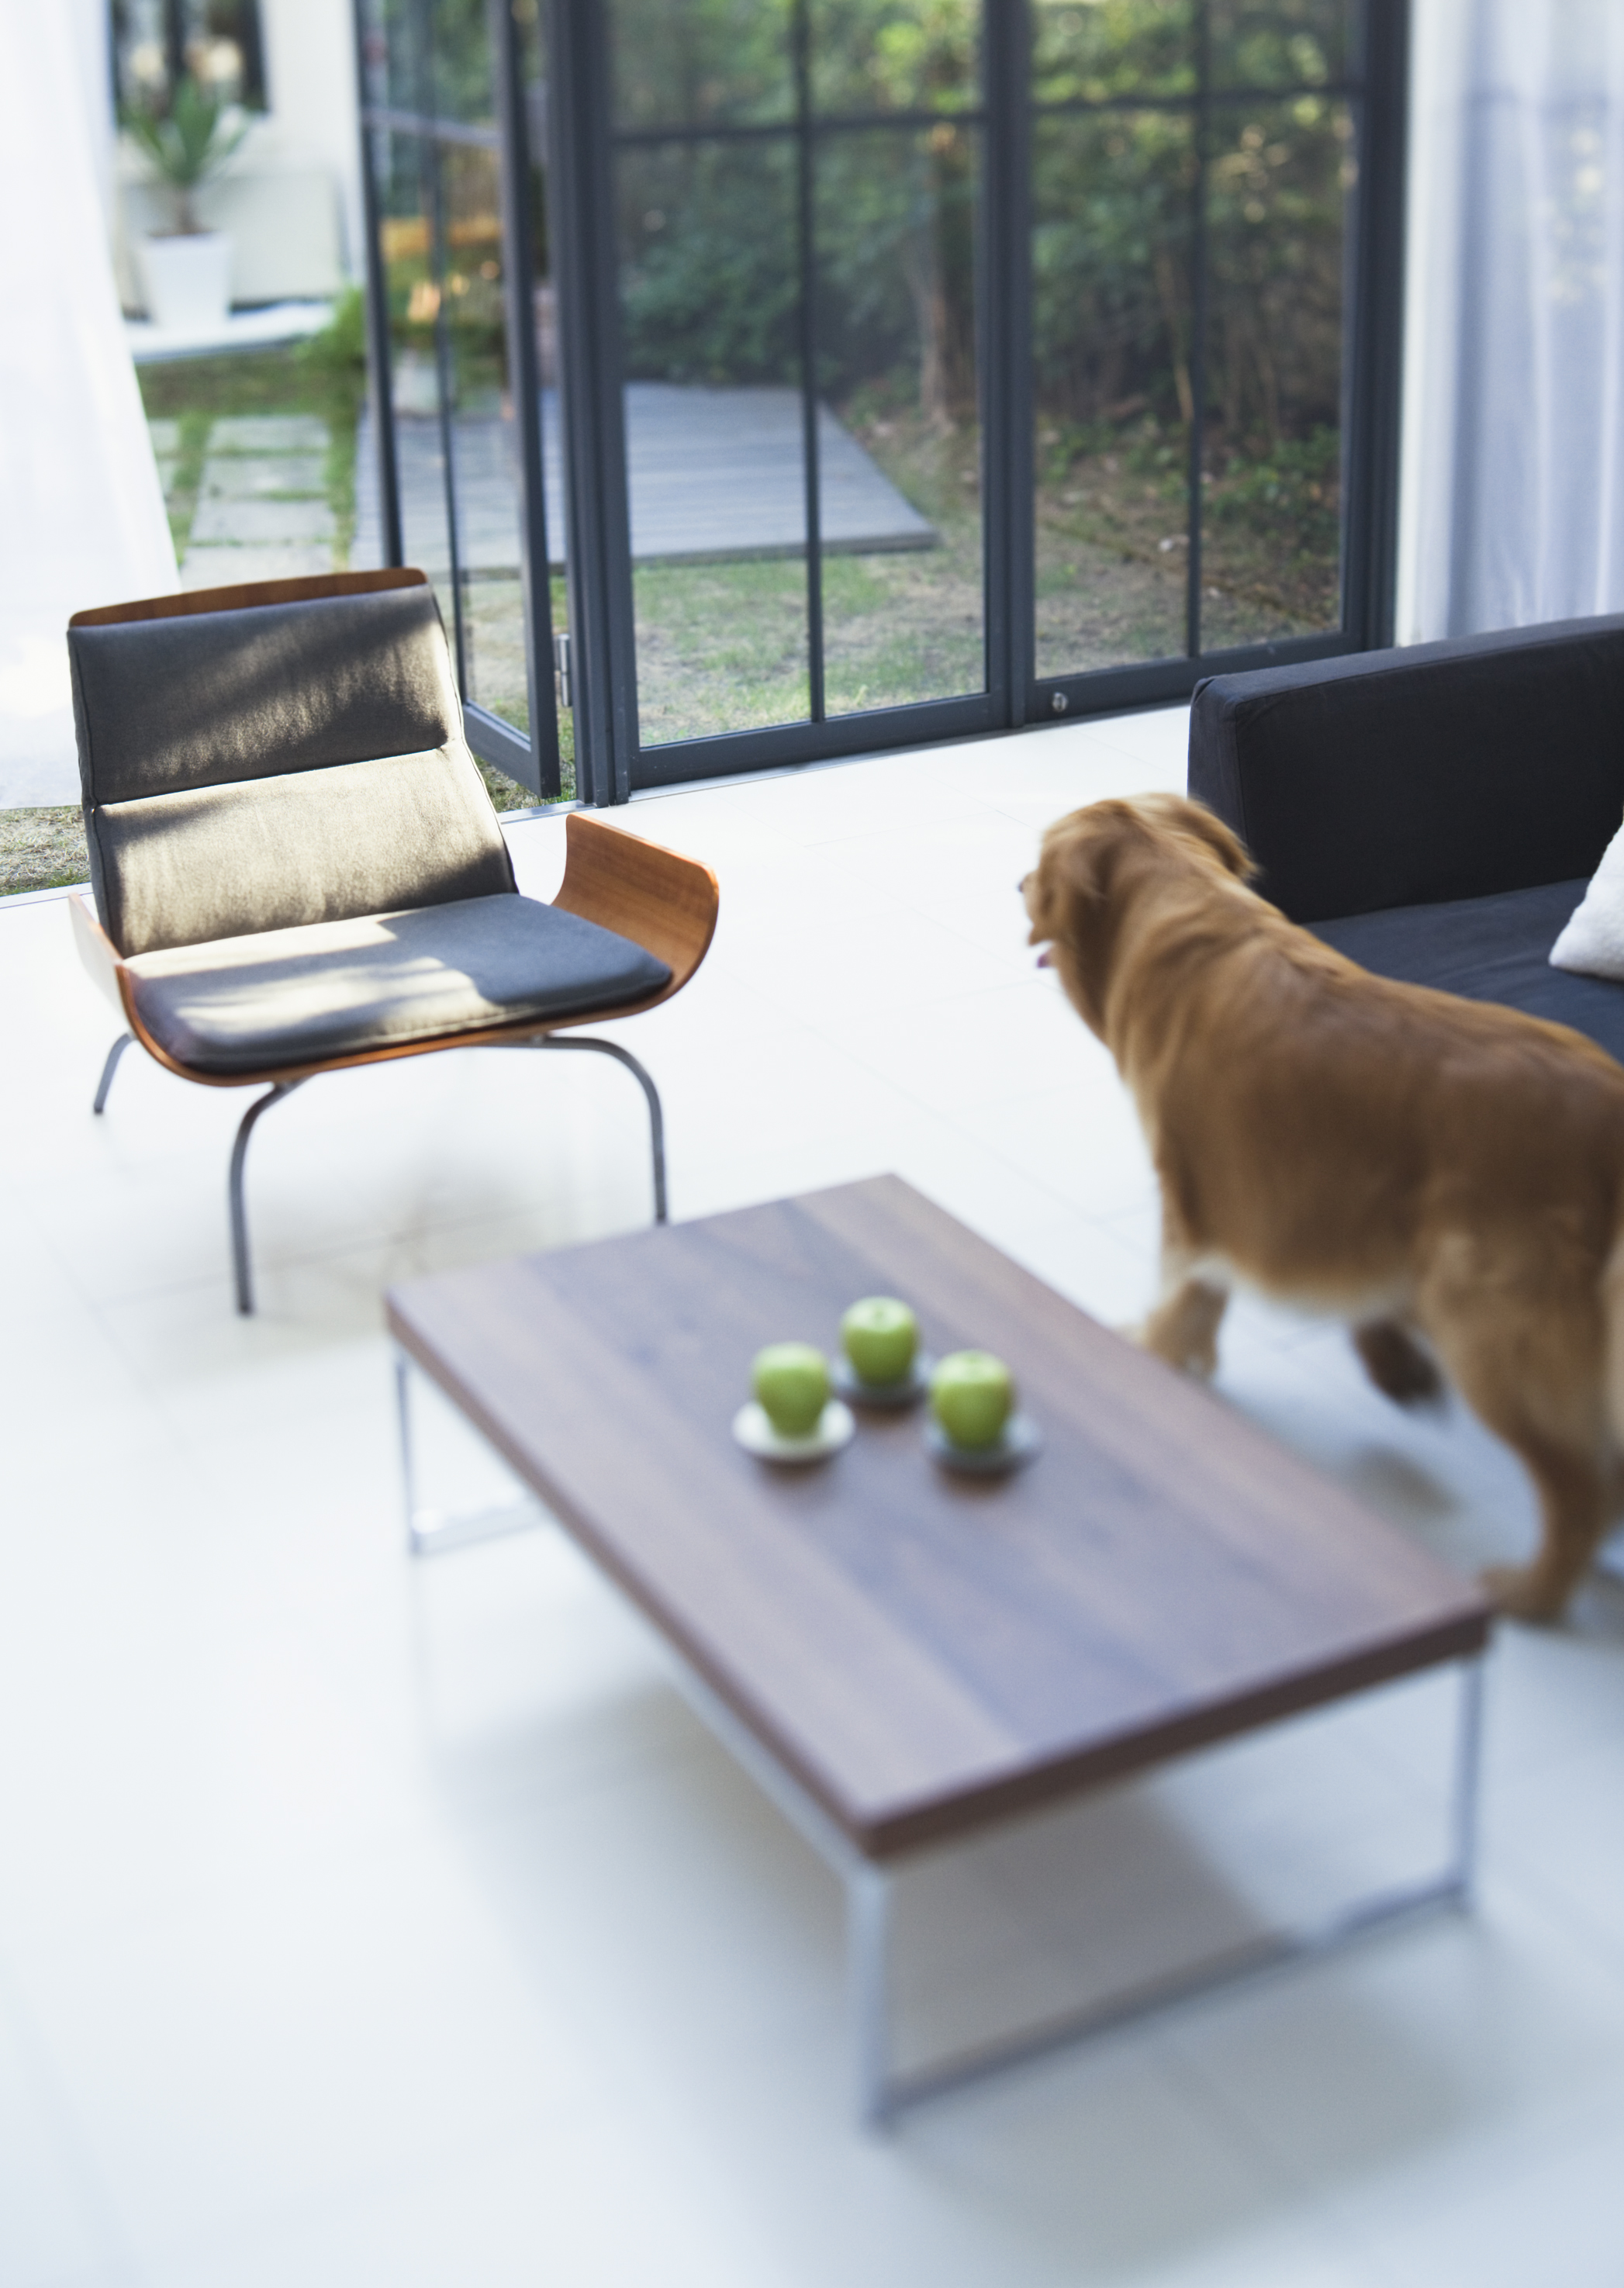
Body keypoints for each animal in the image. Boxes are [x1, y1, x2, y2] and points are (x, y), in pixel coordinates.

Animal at [1029, 796, 1624, 1619]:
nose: (1017, 884)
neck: (1181, 902)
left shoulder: (1193, 1194)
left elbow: (1184, 1295)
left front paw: (1154, 1353)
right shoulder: (1321, 1204)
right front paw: (1390, 1362)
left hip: (1489, 1320)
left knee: (1583, 1490)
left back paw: (1530, 1590)